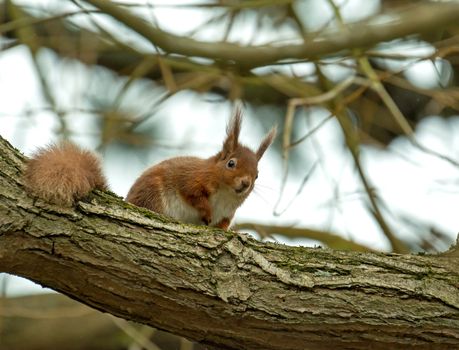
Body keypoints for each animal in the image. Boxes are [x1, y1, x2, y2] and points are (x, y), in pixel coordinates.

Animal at [24, 109, 276, 230]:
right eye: (231, 163)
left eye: (257, 175)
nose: (245, 183)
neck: (225, 195)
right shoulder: (191, 179)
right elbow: (193, 195)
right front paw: (205, 212)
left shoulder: (227, 213)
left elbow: (222, 225)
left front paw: (227, 231)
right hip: (154, 195)